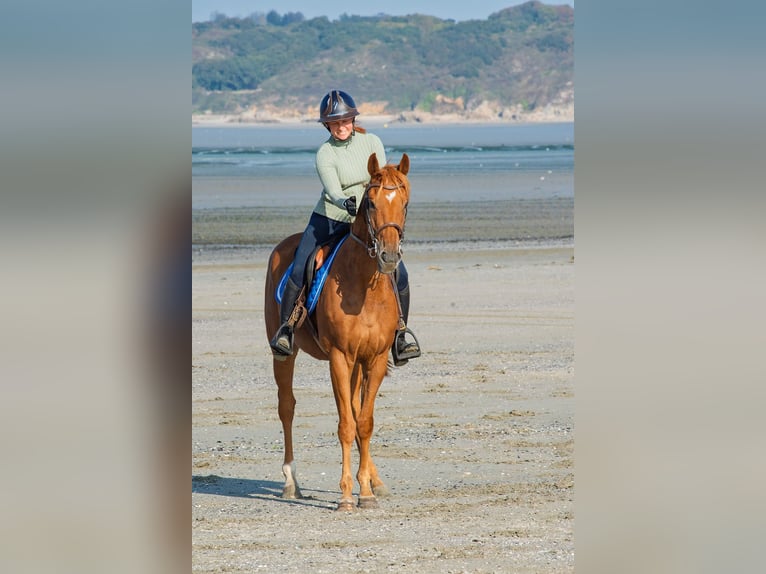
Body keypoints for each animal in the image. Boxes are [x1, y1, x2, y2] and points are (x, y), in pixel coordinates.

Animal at [264, 152, 411, 511]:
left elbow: (364, 422)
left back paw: (374, 479)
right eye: (370, 203)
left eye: (404, 203)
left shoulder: (374, 358)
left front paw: (367, 491)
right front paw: (346, 495)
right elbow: (346, 424)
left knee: (356, 411)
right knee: (286, 406)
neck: (363, 284)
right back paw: (291, 482)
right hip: (285, 354)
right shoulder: (340, 357)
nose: (389, 255)